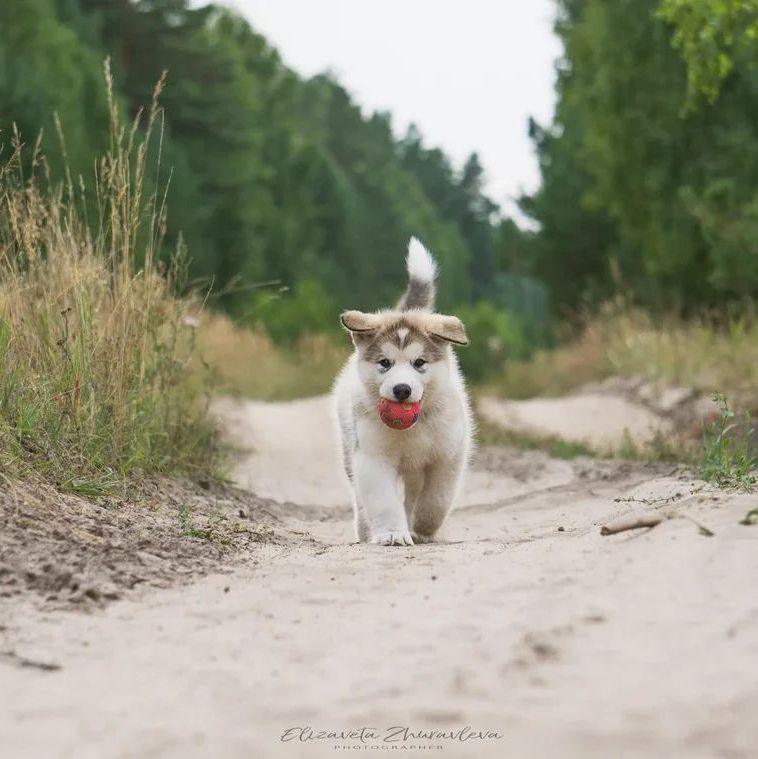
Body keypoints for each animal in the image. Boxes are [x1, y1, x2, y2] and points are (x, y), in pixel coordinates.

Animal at [334, 239, 476, 548]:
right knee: (359, 497)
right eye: (385, 363)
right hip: (349, 449)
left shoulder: (447, 456)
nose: (401, 389)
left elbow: (436, 500)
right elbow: (383, 500)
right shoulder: (372, 456)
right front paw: (391, 533)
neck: (413, 427)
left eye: (419, 363)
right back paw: (366, 531)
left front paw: (421, 528)